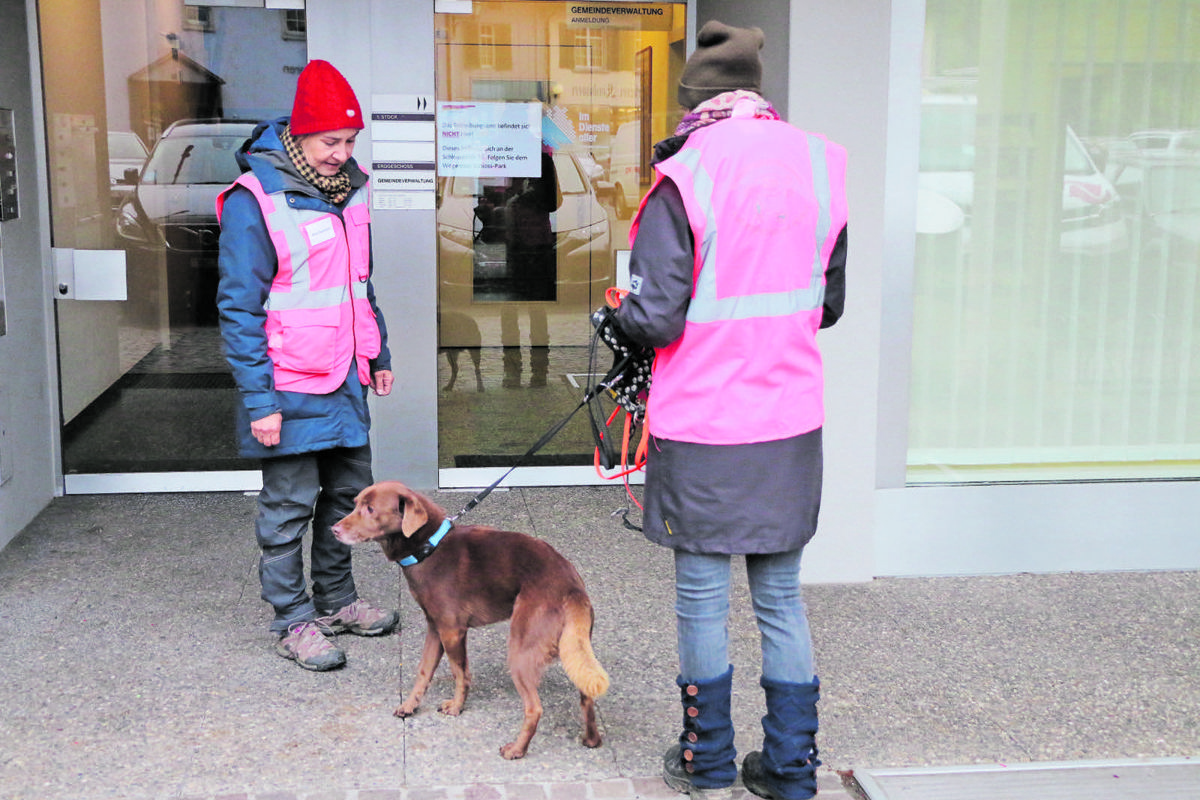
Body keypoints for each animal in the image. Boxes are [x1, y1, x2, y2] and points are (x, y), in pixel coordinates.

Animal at [331, 479, 604, 762]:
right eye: (355, 504)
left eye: (370, 509)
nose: (333, 529)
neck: (429, 547)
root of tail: (572, 588)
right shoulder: (434, 629)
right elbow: (424, 671)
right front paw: (409, 706)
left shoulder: (452, 631)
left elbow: (460, 673)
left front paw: (456, 707)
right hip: (573, 646)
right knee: (586, 695)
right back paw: (591, 739)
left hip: (521, 650)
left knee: (534, 708)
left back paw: (516, 749)